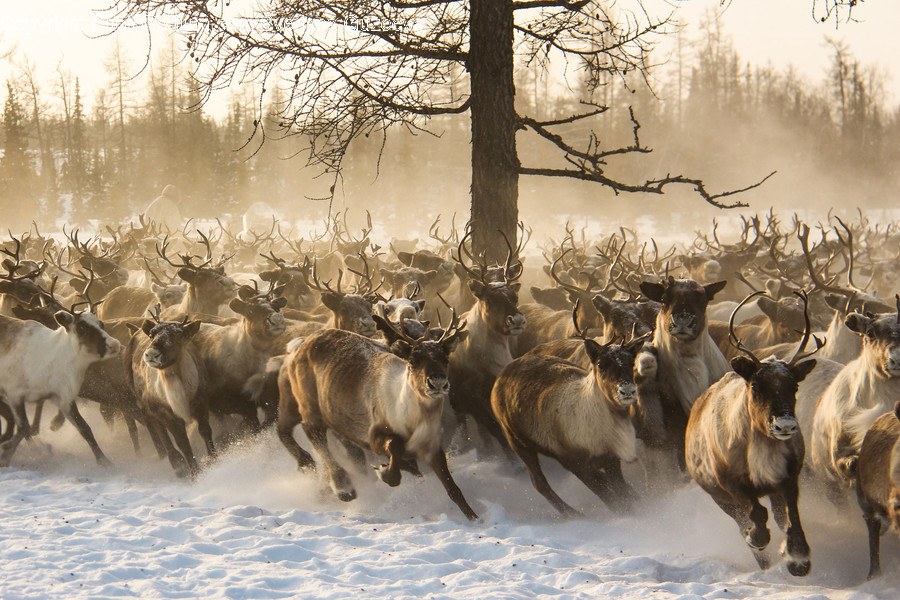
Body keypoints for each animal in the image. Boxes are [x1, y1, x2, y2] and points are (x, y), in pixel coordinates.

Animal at [275, 310, 478, 520]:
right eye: (413, 361)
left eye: (445, 358)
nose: (437, 382)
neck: (412, 420)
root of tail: (300, 343)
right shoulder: (374, 435)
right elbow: (396, 451)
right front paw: (384, 472)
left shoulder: (432, 447)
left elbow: (453, 489)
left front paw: (474, 519)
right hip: (305, 403)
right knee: (311, 435)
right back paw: (341, 486)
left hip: (335, 416)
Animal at [686, 290, 821, 576]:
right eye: (756, 385)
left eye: (794, 386)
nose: (785, 425)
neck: (760, 446)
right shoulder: (731, 484)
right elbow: (756, 516)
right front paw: (757, 538)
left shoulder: (788, 478)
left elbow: (791, 516)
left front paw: (798, 557)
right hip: (719, 497)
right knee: (743, 521)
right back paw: (761, 557)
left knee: (778, 516)